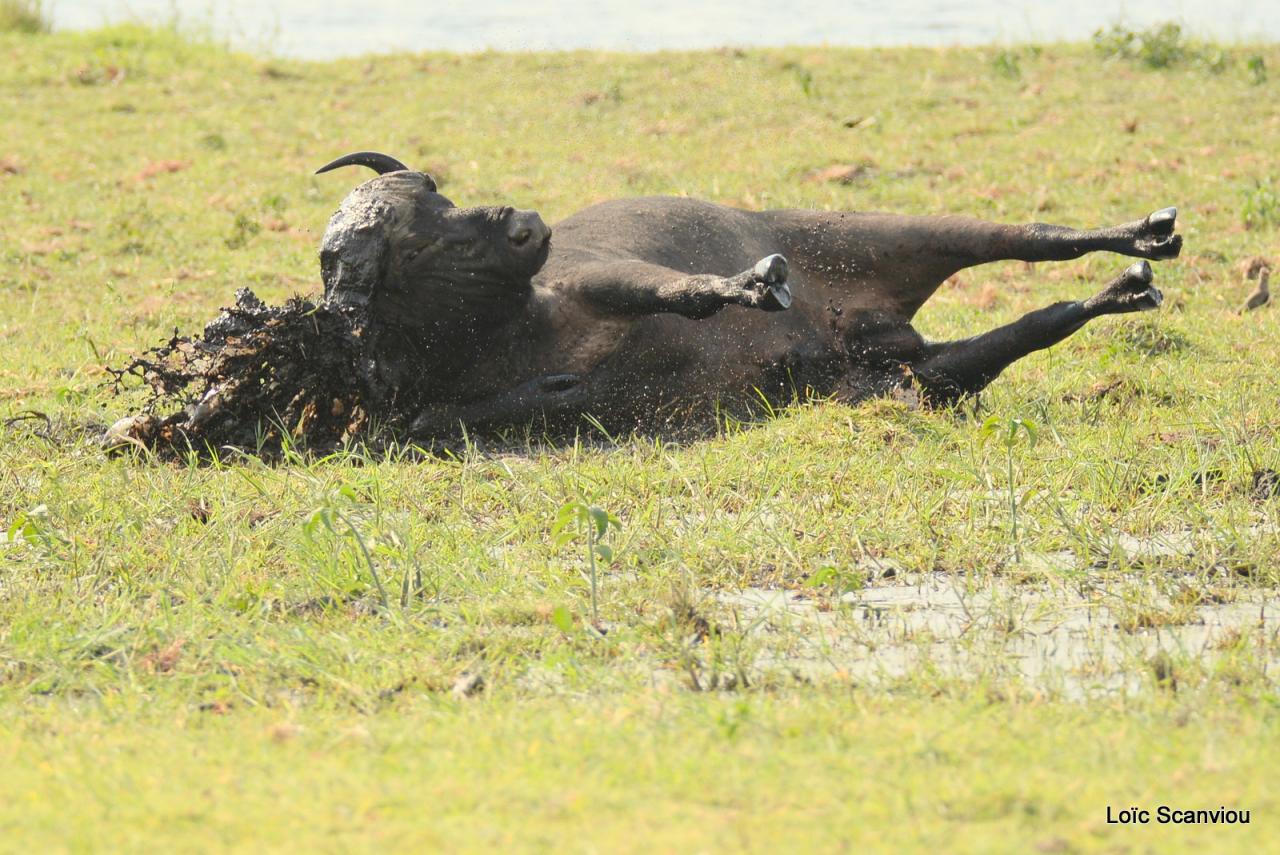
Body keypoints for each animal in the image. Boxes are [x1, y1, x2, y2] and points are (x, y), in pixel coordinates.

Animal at [314, 149, 1172, 437]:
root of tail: (874, 326)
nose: (522, 221)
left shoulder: (601, 275)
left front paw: (750, 284)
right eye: (429, 238)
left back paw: (1143, 235)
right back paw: (1125, 289)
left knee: (1023, 236)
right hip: (925, 372)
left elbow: (679, 290)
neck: (514, 330)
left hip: (884, 231)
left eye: (441, 191)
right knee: (1037, 324)